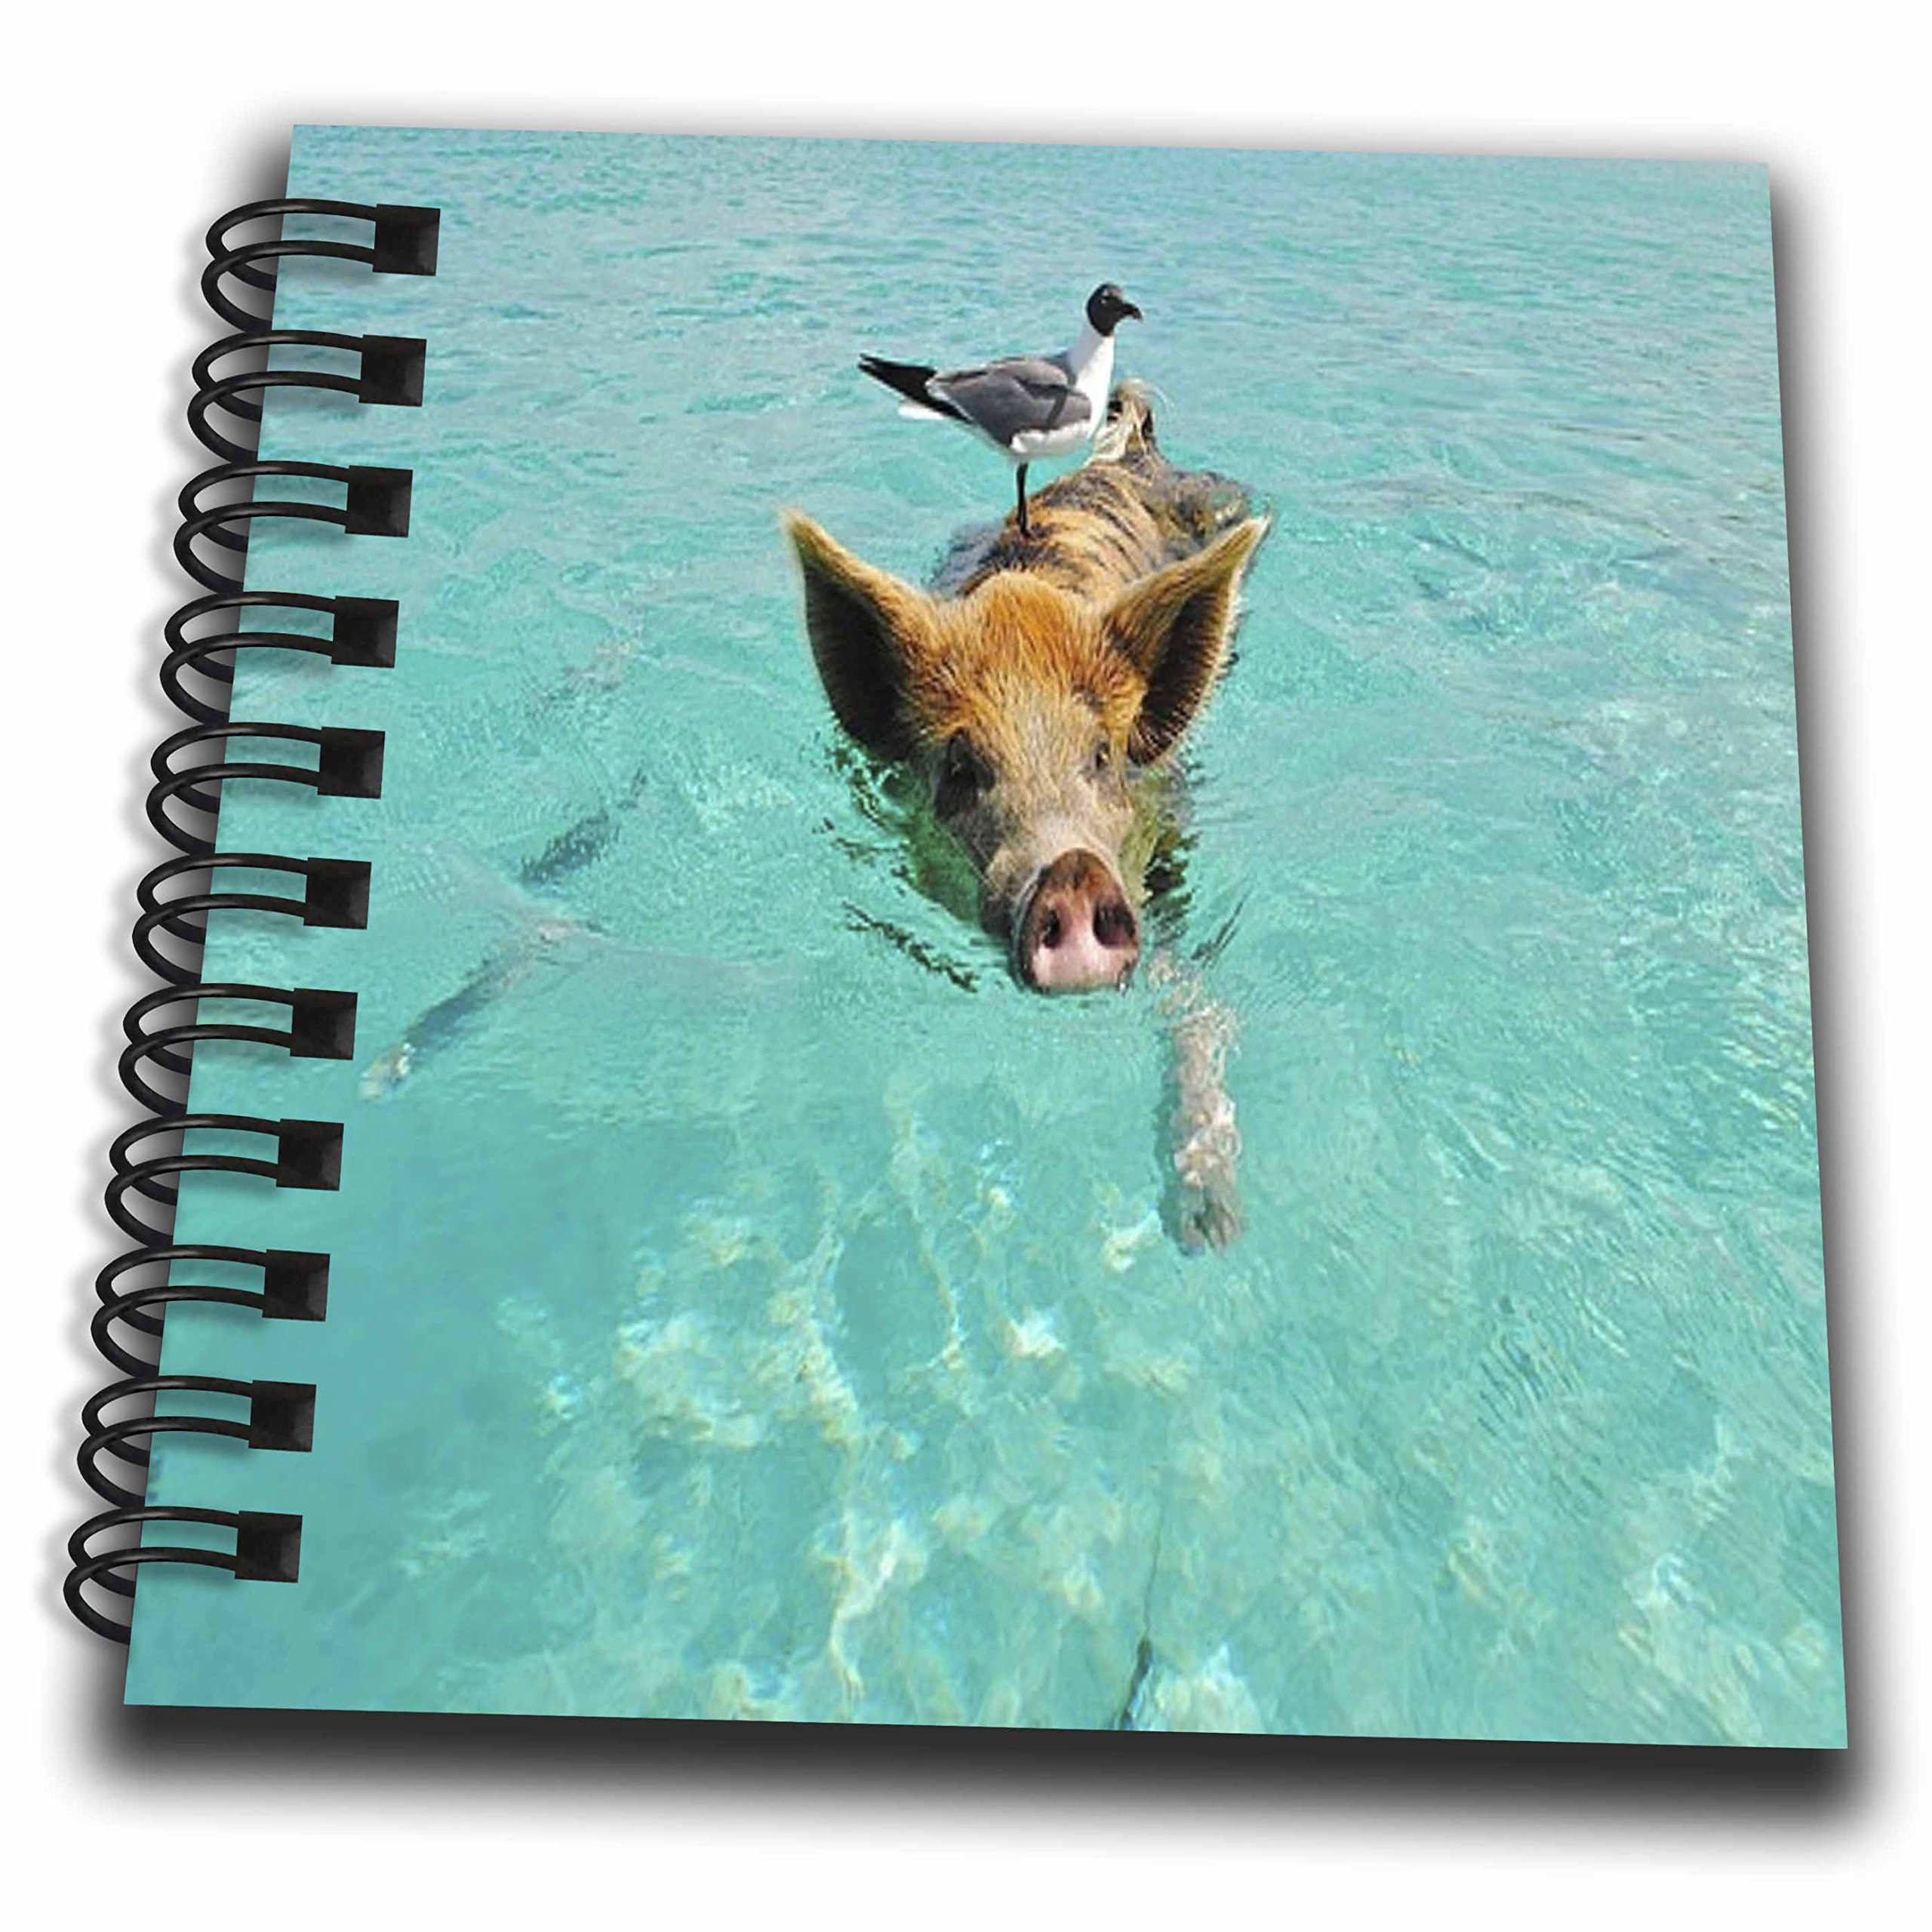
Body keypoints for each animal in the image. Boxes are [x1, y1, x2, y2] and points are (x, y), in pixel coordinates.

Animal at [784, 384, 1267, 1248]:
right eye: (961, 769)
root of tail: (1124, 454)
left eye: (1103, 754)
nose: (1071, 872)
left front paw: (1208, 1229)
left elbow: (1194, 1005)